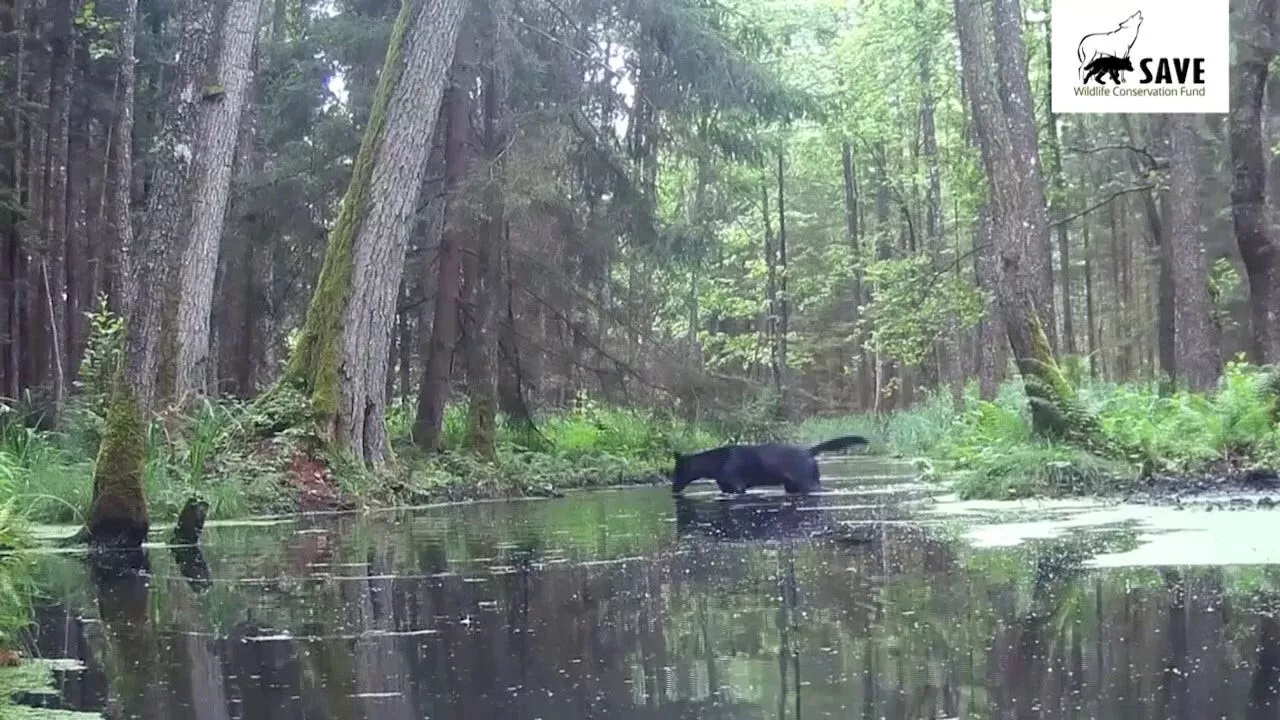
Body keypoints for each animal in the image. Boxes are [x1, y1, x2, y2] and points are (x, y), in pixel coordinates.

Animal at [670, 435, 870, 497]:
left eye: (677, 471)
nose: (672, 489)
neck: (715, 464)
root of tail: (809, 451)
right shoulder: (726, 488)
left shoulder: (738, 487)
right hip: (792, 486)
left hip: (808, 483)